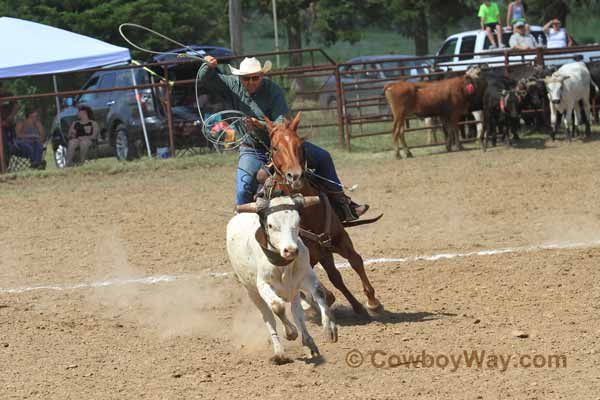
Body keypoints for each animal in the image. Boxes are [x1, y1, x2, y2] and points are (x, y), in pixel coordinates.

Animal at [226, 195, 338, 364]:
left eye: (297, 222)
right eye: (271, 225)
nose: (290, 250)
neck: (283, 264)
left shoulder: (305, 276)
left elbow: (319, 293)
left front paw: (329, 328)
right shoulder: (263, 285)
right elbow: (277, 307)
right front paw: (290, 332)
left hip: (294, 290)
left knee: (297, 313)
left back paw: (309, 343)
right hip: (253, 292)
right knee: (269, 317)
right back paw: (279, 352)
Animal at [264, 112, 384, 316]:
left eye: (300, 144)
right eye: (275, 147)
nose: (295, 176)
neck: (310, 212)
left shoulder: (340, 239)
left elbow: (355, 261)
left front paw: (372, 302)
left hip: (324, 252)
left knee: (335, 276)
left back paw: (355, 306)